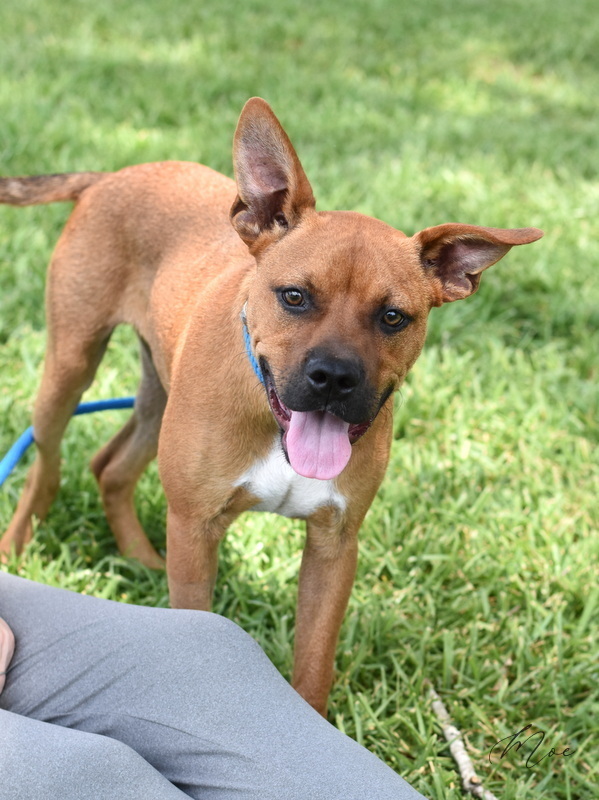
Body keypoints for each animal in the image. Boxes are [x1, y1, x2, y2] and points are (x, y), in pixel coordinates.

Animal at [0, 98, 544, 712]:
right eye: (295, 297)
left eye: (392, 317)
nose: (333, 377)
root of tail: (112, 176)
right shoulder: (195, 530)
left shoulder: (334, 546)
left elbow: (314, 663)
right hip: (70, 368)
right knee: (46, 464)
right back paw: (17, 548)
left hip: (158, 392)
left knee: (111, 467)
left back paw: (140, 560)